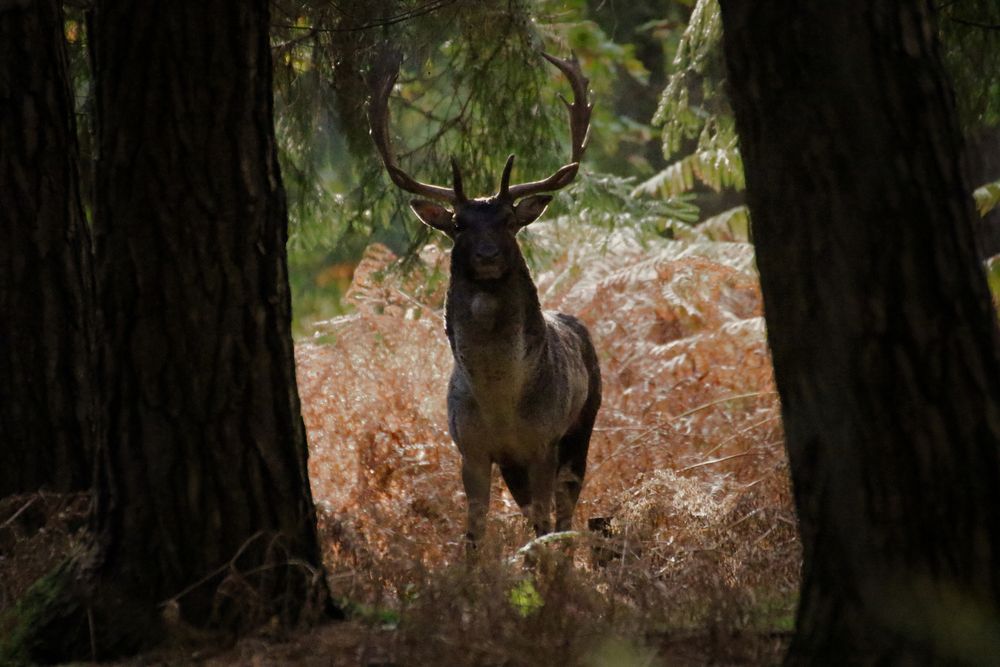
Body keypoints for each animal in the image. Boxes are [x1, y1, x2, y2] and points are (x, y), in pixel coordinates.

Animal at [368, 52, 600, 552]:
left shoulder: (543, 441)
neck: (500, 402)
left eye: (510, 219)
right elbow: (473, 534)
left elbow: (545, 526)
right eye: (458, 224)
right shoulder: (469, 448)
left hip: (582, 427)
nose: (488, 255)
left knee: (566, 513)